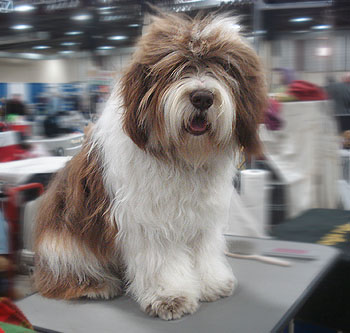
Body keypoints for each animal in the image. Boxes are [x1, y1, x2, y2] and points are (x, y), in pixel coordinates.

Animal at [34, 11, 266, 320]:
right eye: (176, 68)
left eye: (224, 67)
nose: (202, 97)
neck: (183, 157)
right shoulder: (150, 219)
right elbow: (162, 258)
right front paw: (170, 296)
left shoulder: (203, 218)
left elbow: (204, 250)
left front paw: (211, 283)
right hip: (63, 241)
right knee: (65, 273)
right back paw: (94, 285)